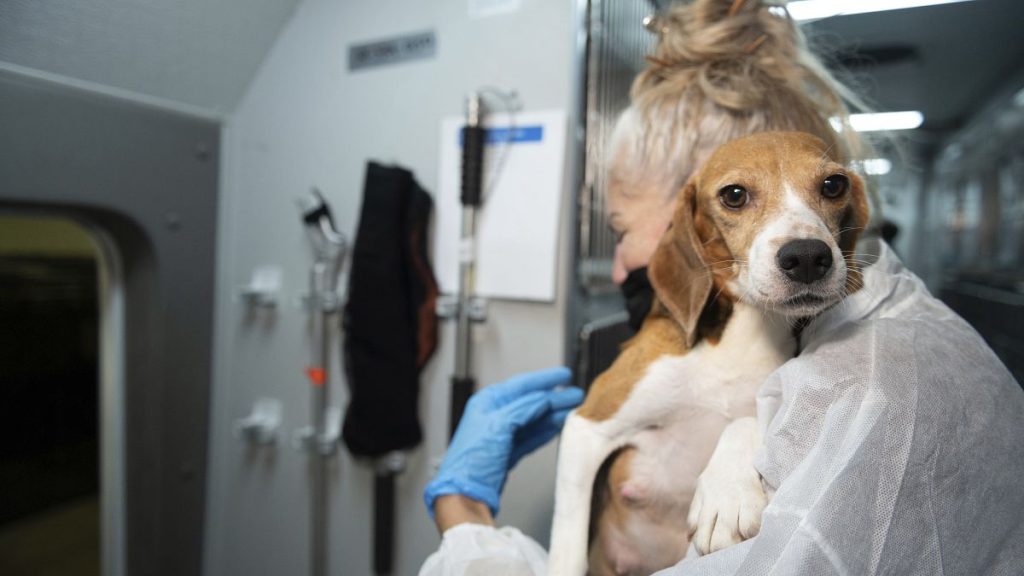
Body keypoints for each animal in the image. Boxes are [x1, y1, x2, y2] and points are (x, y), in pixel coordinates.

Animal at [548, 131, 868, 573]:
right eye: (734, 195)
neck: (743, 334)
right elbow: (568, 546)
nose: (806, 256)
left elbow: (746, 417)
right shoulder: (589, 426)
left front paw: (726, 495)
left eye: (834, 185)